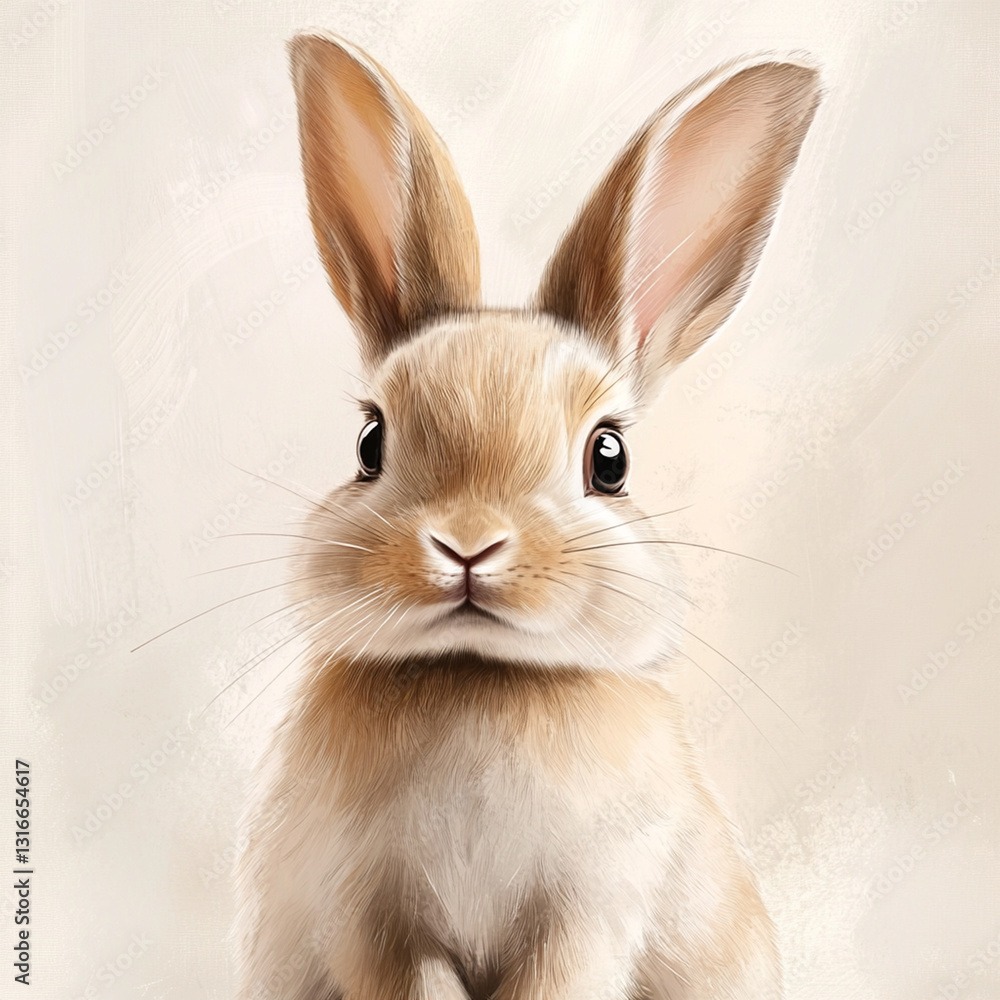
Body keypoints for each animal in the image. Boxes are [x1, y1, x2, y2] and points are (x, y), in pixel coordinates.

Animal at [233, 30, 820, 1000]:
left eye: (609, 459)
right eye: (369, 443)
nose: (468, 545)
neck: (481, 674)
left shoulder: (588, 911)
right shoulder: (370, 918)